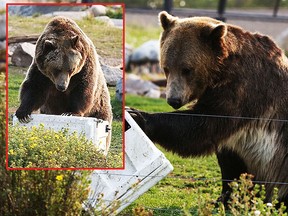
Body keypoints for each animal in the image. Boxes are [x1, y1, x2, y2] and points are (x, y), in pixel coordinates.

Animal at [130, 11, 288, 208]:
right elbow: (230, 158)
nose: (173, 99)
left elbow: (203, 125)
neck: (220, 70)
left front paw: (139, 117)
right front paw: (226, 198)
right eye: (166, 67)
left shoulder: (244, 90)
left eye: (187, 69)